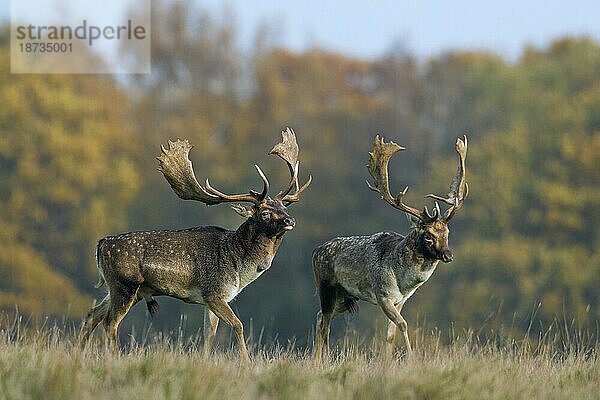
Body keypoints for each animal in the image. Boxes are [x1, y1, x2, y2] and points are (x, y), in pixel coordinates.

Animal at [79, 129, 312, 362]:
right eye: (264, 213)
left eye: (284, 207)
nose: (290, 220)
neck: (239, 265)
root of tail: (100, 245)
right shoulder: (214, 292)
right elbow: (238, 325)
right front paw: (246, 362)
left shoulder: (212, 300)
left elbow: (209, 334)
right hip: (124, 284)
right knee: (110, 322)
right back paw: (114, 357)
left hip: (122, 289)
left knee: (92, 315)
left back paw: (78, 354)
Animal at [314, 135, 468, 360]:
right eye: (428, 236)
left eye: (447, 233)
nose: (448, 255)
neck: (403, 281)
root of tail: (315, 252)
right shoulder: (383, 295)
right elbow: (403, 324)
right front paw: (411, 358)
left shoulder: (401, 300)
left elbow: (390, 334)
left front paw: (387, 362)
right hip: (326, 287)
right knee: (324, 323)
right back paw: (320, 359)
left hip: (346, 296)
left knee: (319, 318)